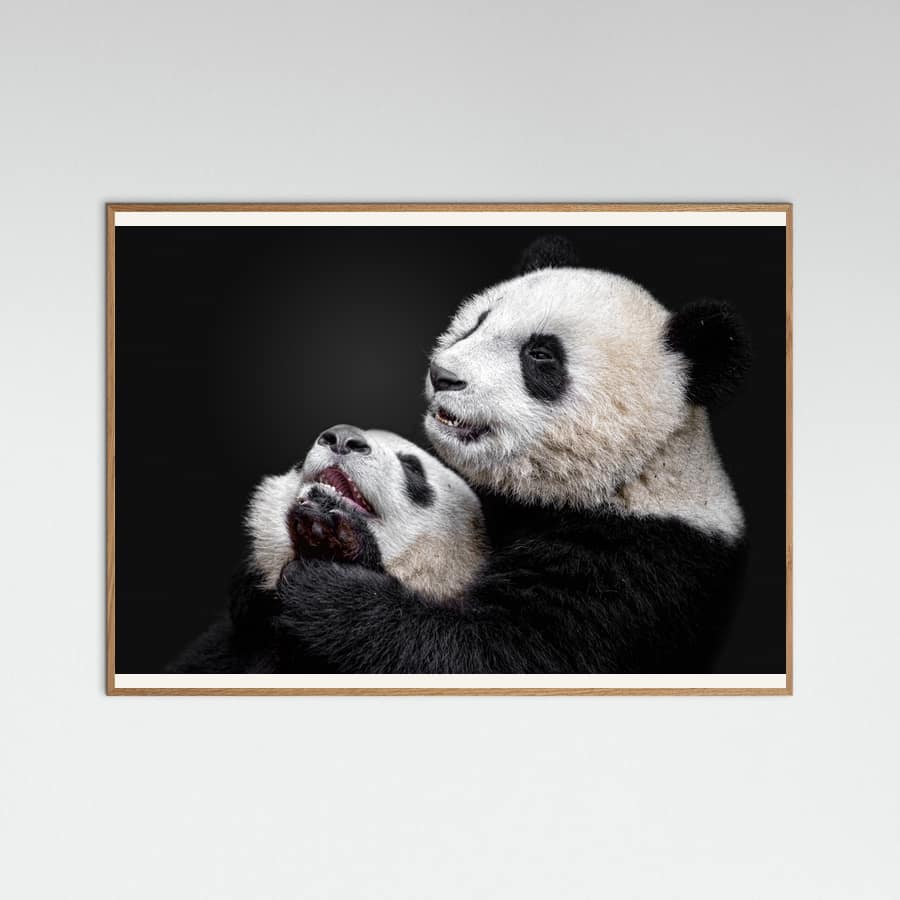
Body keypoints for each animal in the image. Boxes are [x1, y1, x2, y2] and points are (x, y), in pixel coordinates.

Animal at [269, 237, 751, 673]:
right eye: (477, 322)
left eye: (540, 354)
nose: (443, 375)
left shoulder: (636, 564)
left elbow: (499, 652)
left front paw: (330, 574)